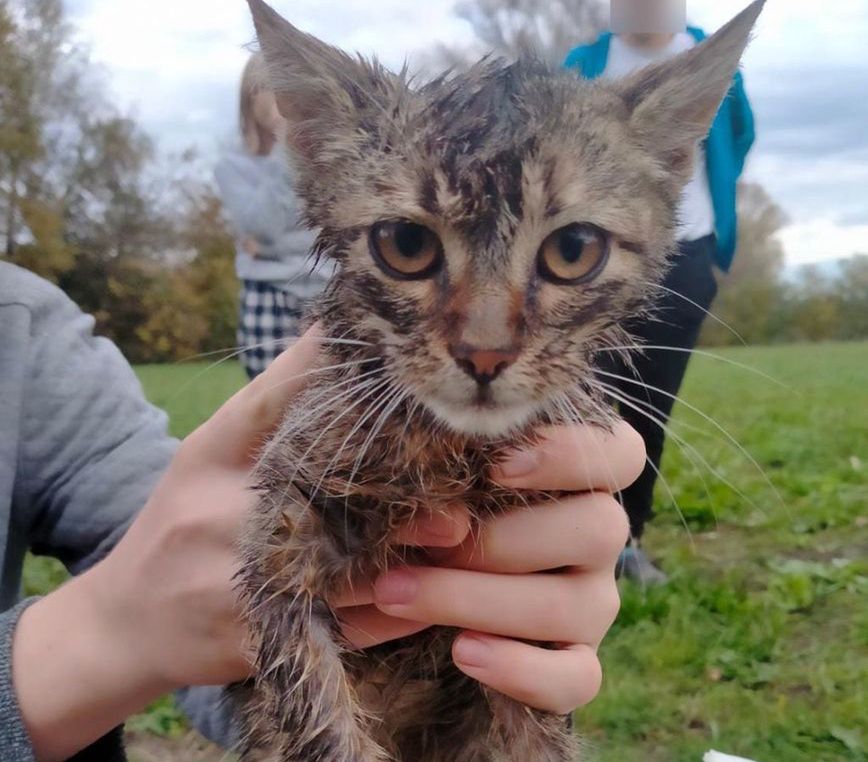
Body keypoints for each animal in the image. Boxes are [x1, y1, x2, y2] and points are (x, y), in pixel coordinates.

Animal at [237, 2, 768, 756]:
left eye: (574, 249)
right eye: (405, 245)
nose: (484, 354)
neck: (455, 453)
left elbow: (532, 733)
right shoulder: (281, 532)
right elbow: (315, 712)